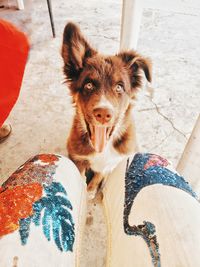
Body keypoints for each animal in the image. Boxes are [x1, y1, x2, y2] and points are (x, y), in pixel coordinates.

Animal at [61, 23, 152, 198]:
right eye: (88, 85)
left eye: (119, 87)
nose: (103, 114)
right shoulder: (77, 157)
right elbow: (80, 177)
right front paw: (84, 190)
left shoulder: (113, 162)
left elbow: (100, 174)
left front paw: (91, 190)